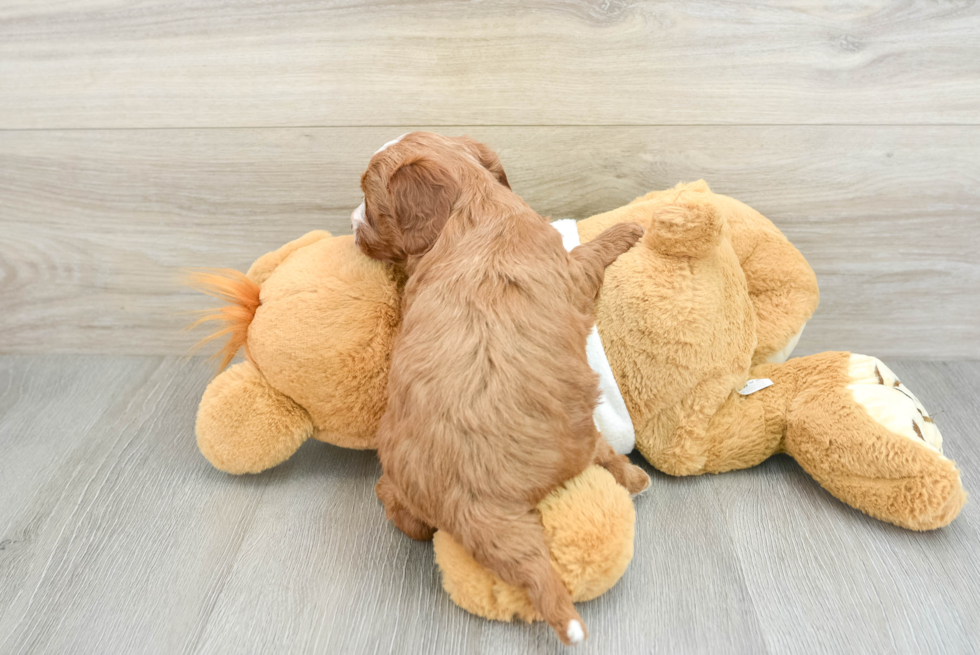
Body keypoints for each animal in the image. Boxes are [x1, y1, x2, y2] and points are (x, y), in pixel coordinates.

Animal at [354, 133, 652, 644]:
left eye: (371, 206)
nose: (352, 226)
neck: (476, 205)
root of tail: (472, 501)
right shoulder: (571, 271)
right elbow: (590, 256)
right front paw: (628, 231)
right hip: (573, 433)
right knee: (603, 455)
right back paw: (636, 480)